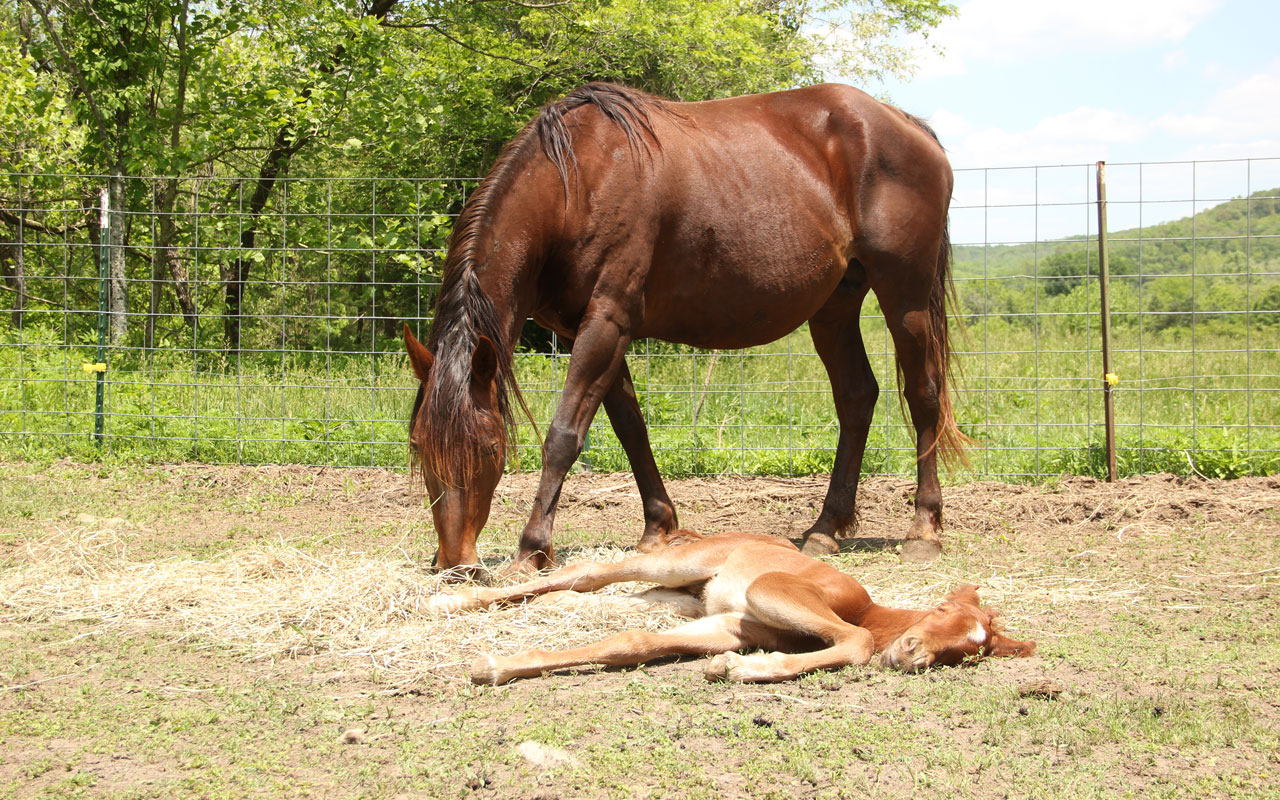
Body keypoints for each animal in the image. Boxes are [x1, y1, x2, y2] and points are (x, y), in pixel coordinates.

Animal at [404, 81, 968, 574]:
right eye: (418, 446)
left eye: (488, 449)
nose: (454, 564)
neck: (577, 182)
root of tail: (906, 124)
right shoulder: (590, 328)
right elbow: (631, 427)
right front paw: (659, 527)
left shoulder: (607, 320)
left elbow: (564, 434)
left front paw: (532, 548)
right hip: (835, 307)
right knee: (856, 398)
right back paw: (825, 530)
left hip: (905, 297)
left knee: (923, 395)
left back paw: (923, 531)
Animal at [429, 530, 1035, 684]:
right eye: (940, 614)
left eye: (965, 652)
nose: (912, 654)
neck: (868, 609)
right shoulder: (773, 589)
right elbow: (858, 642)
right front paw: (751, 670)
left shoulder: (731, 625)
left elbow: (633, 644)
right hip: (675, 566)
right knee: (589, 574)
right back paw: (449, 597)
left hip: (678, 597)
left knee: (592, 595)